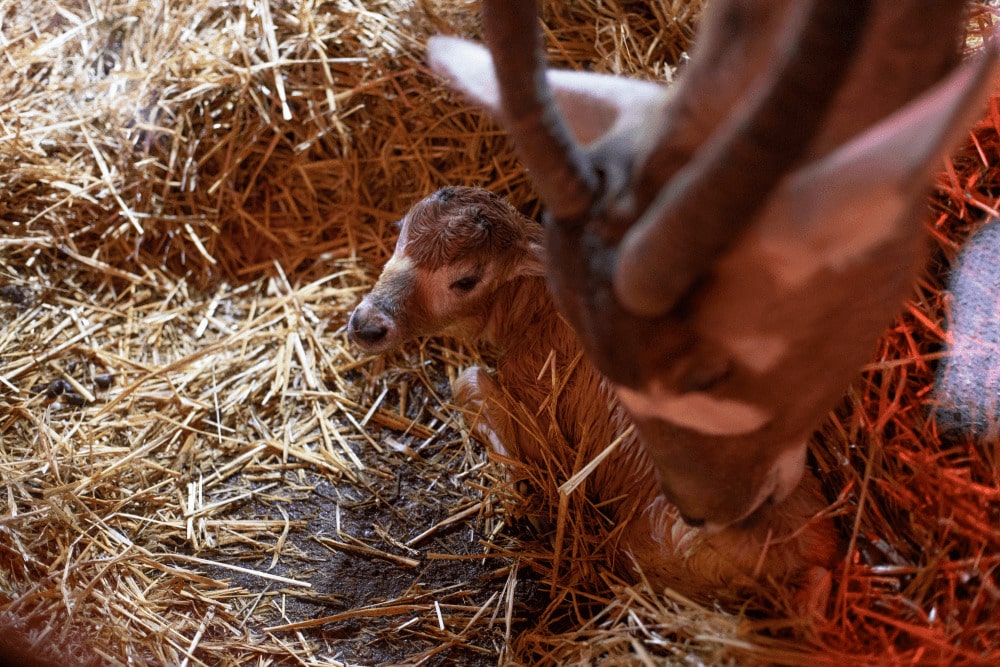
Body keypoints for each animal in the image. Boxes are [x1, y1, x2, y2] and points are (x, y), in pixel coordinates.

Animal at [348, 187, 840, 600]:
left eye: (466, 279)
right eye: (400, 234)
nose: (366, 324)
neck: (535, 309)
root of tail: (802, 553)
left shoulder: (537, 405)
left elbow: (469, 382)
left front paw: (520, 487)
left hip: (648, 547)